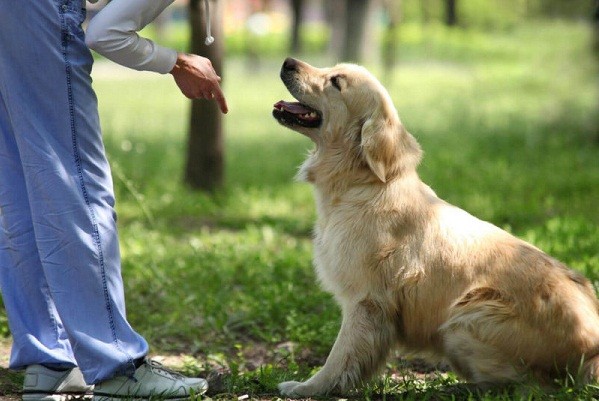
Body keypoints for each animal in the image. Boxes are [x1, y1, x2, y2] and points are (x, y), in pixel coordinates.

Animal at [274, 57, 599, 396]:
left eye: (336, 82)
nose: (288, 62)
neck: (362, 183)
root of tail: (592, 351)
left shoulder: (366, 301)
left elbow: (340, 357)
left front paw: (308, 387)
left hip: (466, 317)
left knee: (528, 385)